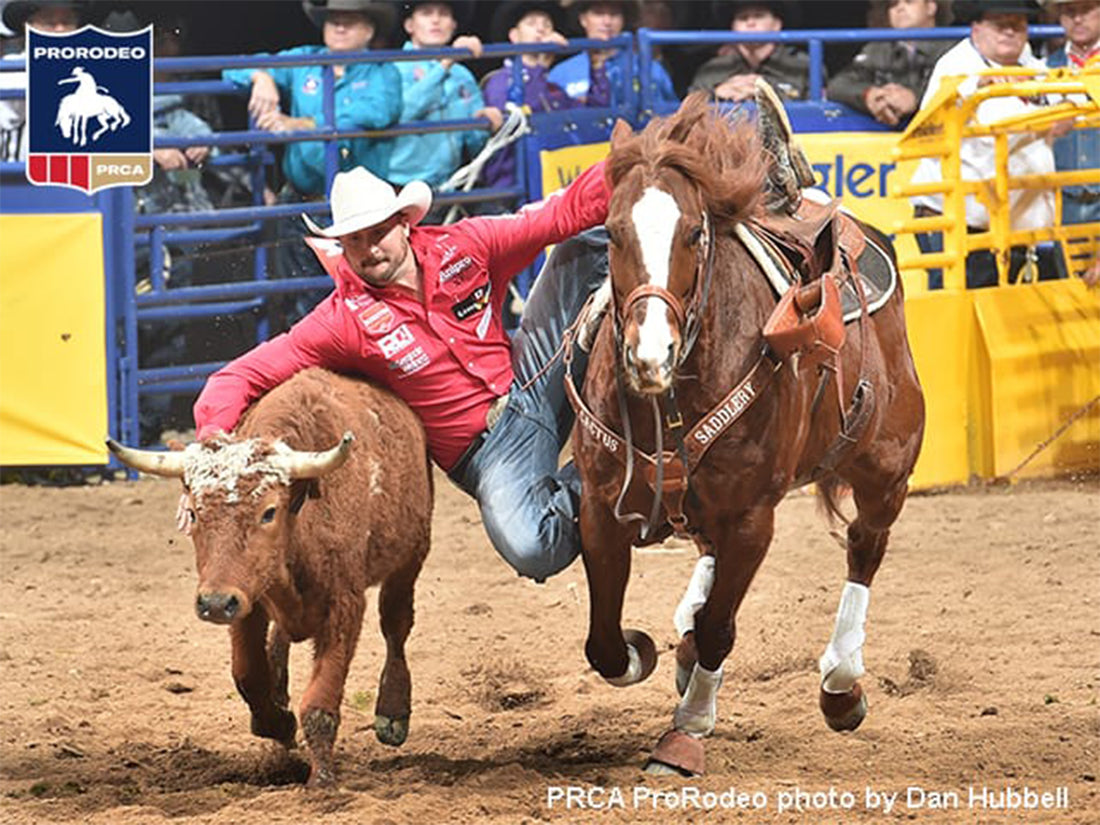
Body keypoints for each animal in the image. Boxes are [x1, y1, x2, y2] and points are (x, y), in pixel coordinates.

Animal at [572, 95, 924, 774]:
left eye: (693, 233)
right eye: (612, 232)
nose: (649, 355)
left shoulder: (753, 517)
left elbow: (720, 629)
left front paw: (686, 731)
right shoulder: (600, 507)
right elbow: (604, 643)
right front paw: (646, 650)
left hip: (887, 466)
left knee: (865, 547)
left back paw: (841, 685)